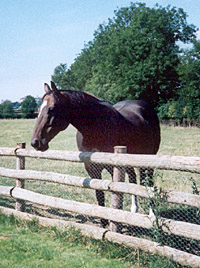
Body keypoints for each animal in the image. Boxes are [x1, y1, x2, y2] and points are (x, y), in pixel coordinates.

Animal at [31, 81, 160, 226]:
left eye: (52, 108)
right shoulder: (92, 168)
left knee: (149, 183)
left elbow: (117, 192)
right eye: (39, 109)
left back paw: (152, 215)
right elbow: (100, 194)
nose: (35, 142)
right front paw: (104, 223)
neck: (96, 127)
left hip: (148, 158)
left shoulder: (112, 167)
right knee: (133, 179)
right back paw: (134, 209)